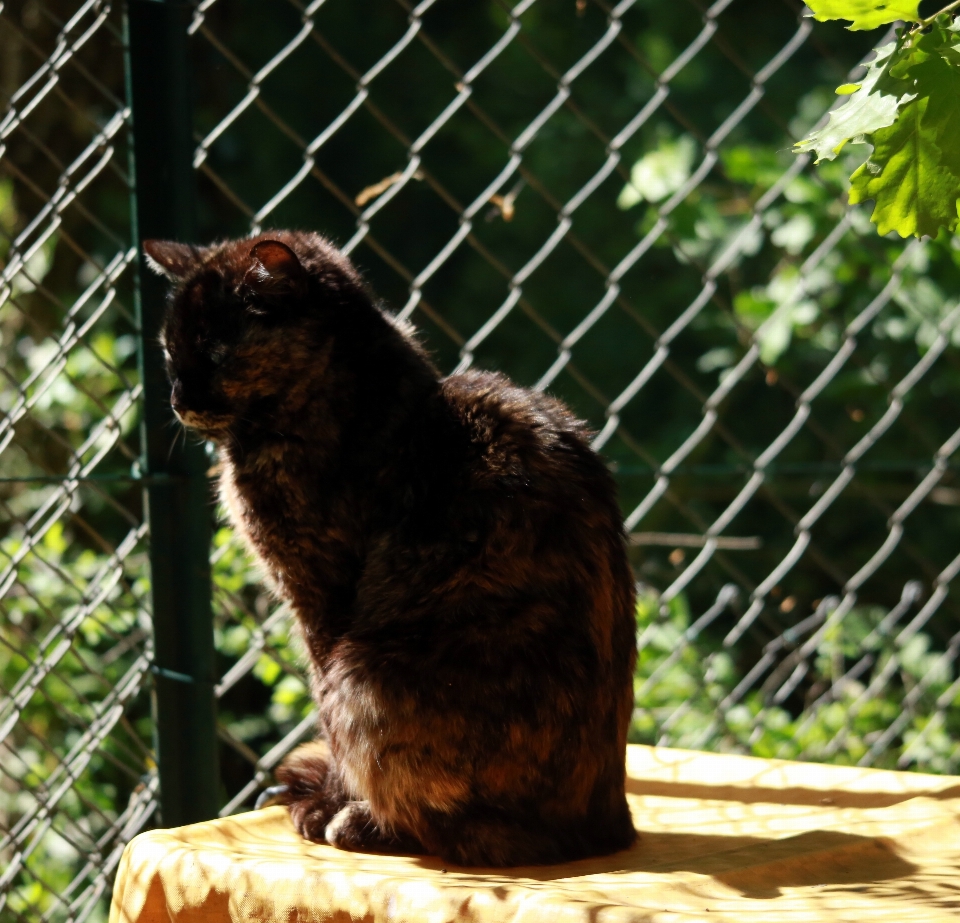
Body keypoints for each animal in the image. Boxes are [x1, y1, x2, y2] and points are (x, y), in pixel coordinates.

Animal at [144, 231, 636, 868]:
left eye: (214, 351)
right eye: (169, 351)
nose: (178, 399)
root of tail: (611, 826)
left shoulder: (321, 598)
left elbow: (328, 722)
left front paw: (332, 802)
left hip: (363, 676)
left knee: (469, 832)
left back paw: (362, 824)